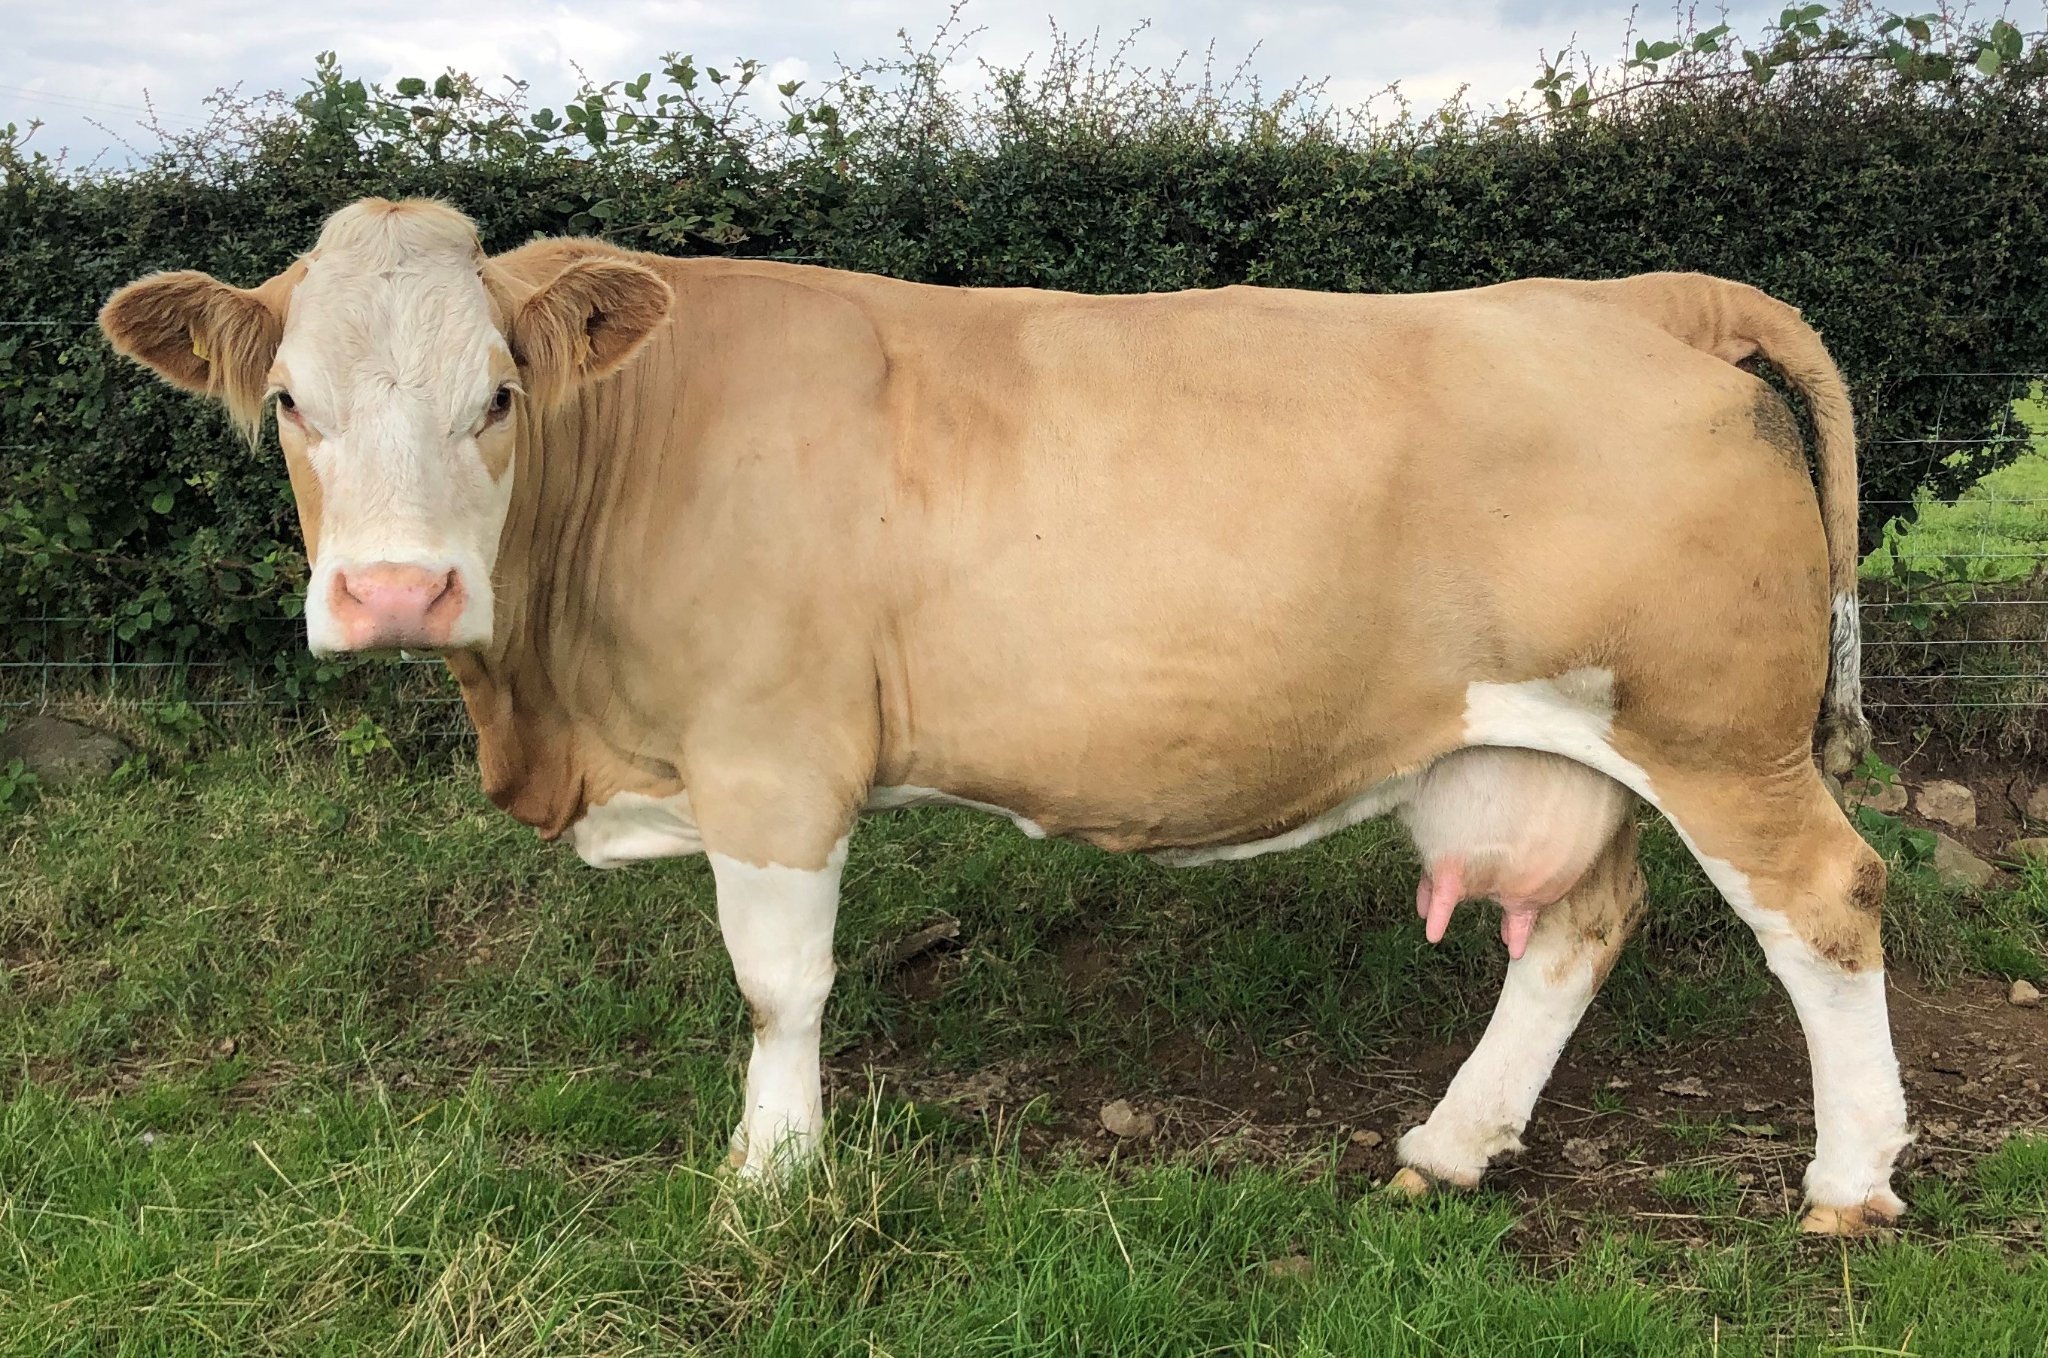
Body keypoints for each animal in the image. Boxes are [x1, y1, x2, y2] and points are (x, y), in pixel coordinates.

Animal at [99, 197, 1910, 1235]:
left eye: (497, 394)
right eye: (288, 402)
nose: (398, 592)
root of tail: (1629, 294)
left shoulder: (772, 752)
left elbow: (777, 986)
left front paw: (766, 1182)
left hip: (1715, 731)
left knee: (1825, 904)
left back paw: (1847, 1184)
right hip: (1546, 735)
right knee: (1575, 926)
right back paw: (1451, 1145)